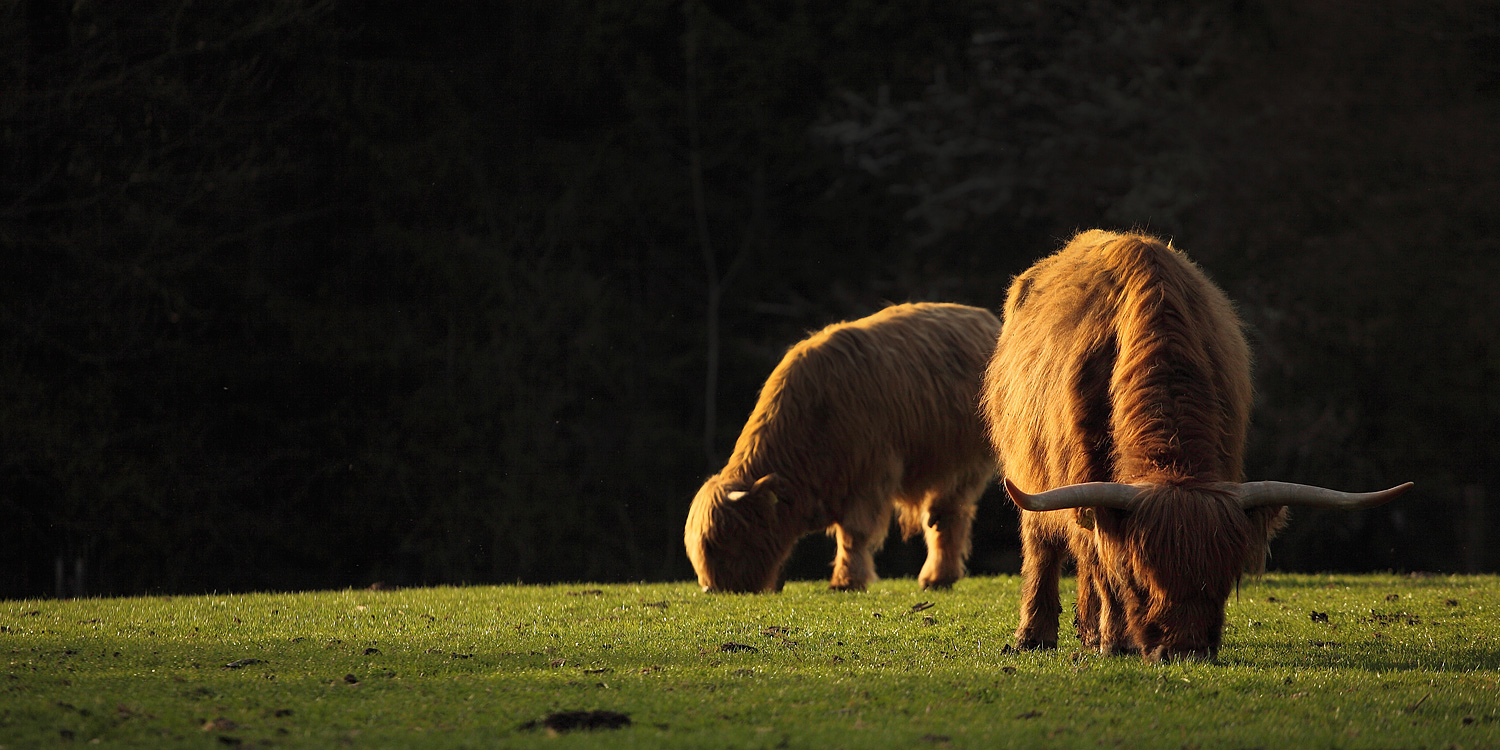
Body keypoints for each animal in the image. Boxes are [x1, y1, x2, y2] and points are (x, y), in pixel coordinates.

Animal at [687, 303, 1002, 591]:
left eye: (727, 538)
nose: (712, 588)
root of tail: (984, 318)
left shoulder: (869, 476)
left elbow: (853, 533)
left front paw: (846, 581)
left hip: (966, 462)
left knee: (948, 516)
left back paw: (938, 578)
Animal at [978, 229, 1410, 663]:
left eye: (1225, 578)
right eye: (1140, 577)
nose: (1185, 650)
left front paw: (1107, 638)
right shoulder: (1083, 475)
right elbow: (1103, 562)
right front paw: (1115, 641)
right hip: (1031, 472)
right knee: (1043, 547)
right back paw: (1035, 636)